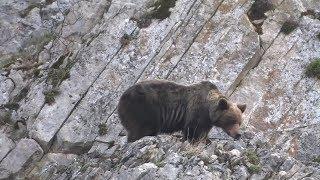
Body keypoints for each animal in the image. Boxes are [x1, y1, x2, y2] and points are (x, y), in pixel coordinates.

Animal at [117, 80, 245, 142]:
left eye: (240, 122)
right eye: (232, 120)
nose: (238, 134)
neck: (208, 109)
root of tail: (122, 97)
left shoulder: (207, 121)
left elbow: (203, 131)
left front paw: (206, 140)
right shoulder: (196, 111)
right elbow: (193, 129)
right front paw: (194, 140)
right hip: (144, 107)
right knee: (145, 127)